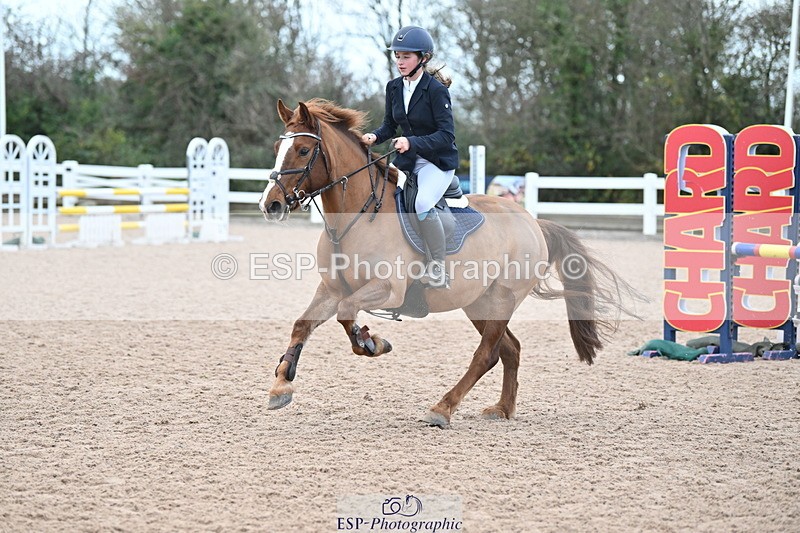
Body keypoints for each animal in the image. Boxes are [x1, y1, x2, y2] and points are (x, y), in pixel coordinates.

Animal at [259, 98, 638, 428]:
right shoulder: (331, 288)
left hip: (502, 299)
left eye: (303, 150)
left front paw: (373, 342)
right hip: (478, 303)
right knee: (510, 349)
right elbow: (303, 325)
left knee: (487, 355)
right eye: (277, 148)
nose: (270, 204)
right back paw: (503, 409)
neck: (357, 217)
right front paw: (281, 386)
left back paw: (442, 408)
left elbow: (347, 314)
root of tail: (532, 221)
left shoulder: (387, 289)